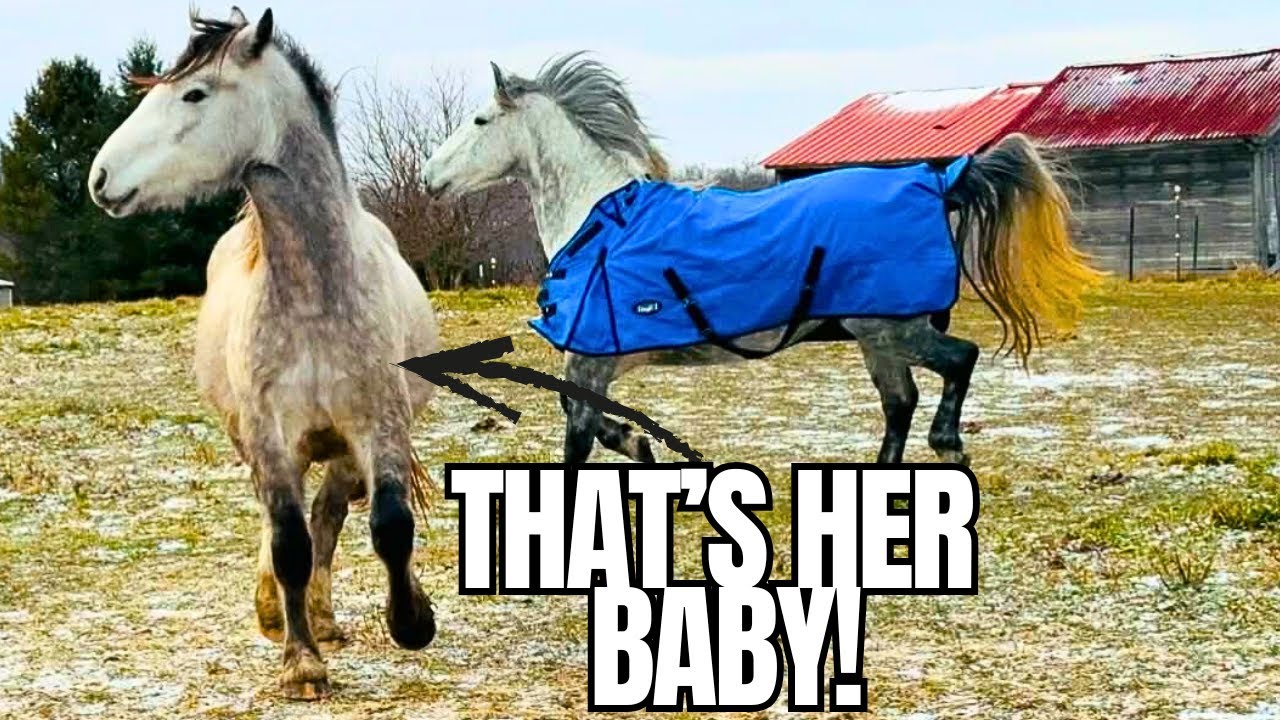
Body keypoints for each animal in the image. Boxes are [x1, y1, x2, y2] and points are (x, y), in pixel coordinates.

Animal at [89, 7, 439, 700]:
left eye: (195, 94)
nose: (100, 178)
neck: (315, 295)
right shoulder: (270, 436)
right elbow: (288, 544)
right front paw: (301, 662)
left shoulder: (379, 424)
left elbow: (389, 525)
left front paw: (412, 619)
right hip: (262, 441)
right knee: (288, 523)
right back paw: (279, 612)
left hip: (341, 449)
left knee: (331, 515)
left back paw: (326, 616)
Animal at [421, 53, 1100, 466]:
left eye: (479, 119)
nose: (429, 179)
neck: (603, 219)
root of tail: (939, 180)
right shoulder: (604, 360)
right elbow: (590, 421)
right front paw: (640, 446)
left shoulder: (591, 358)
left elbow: (578, 435)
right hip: (875, 337)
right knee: (899, 401)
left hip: (893, 328)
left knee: (959, 361)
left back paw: (949, 444)